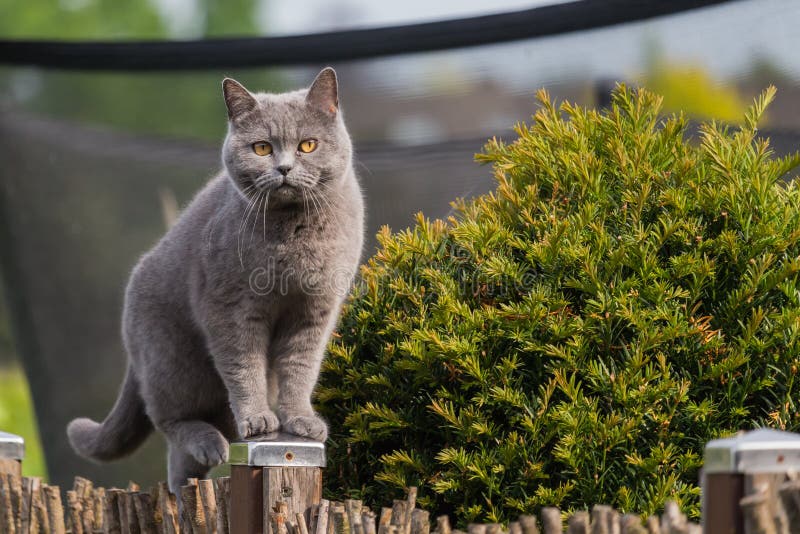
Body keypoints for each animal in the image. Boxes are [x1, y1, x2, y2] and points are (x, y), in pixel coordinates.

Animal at [66, 69, 366, 496]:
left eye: (308, 145)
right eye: (261, 148)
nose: (284, 168)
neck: (292, 235)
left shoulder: (315, 311)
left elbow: (300, 367)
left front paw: (301, 421)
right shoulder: (229, 307)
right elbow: (244, 365)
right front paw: (258, 419)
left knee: (180, 461)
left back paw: (188, 480)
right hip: (173, 358)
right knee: (169, 418)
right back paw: (208, 444)